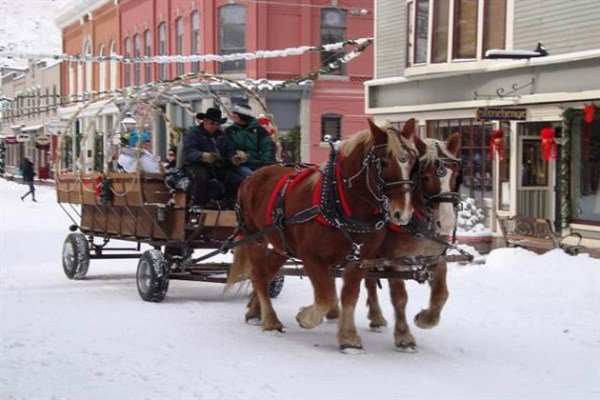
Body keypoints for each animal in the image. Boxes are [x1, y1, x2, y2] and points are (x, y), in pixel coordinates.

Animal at [226, 119, 422, 340]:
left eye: (413, 163)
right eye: (384, 163)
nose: (402, 212)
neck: (339, 202)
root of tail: (252, 176)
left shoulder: (362, 259)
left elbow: (349, 295)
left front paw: (348, 337)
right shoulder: (311, 256)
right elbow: (325, 296)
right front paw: (306, 317)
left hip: (283, 246)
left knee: (268, 273)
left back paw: (254, 310)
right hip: (254, 237)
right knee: (258, 275)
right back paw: (270, 320)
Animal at [352, 133, 464, 352]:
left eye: (456, 176)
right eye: (426, 178)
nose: (446, 222)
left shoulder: (436, 258)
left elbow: (441, 294)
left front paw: (425, 319)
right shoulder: (393, 260)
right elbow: (400, 297)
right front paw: (404, 336)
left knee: (369, 280)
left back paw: (375, 317)